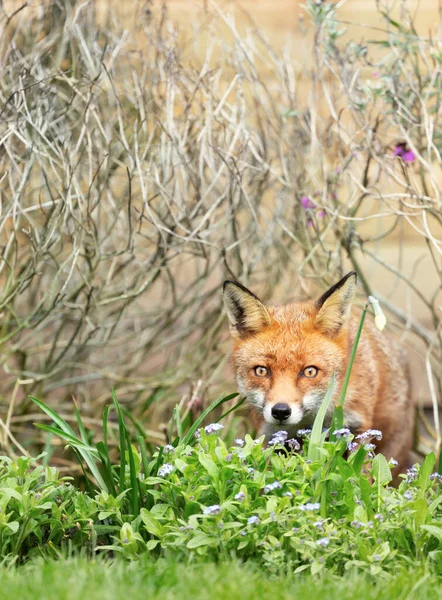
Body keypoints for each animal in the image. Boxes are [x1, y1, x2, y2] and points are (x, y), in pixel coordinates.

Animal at [224, 272, 414, 474]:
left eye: (310, 371)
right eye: (261, 370)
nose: (281, 411)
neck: (312, 420)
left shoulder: (359, 427)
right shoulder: (271, 436)